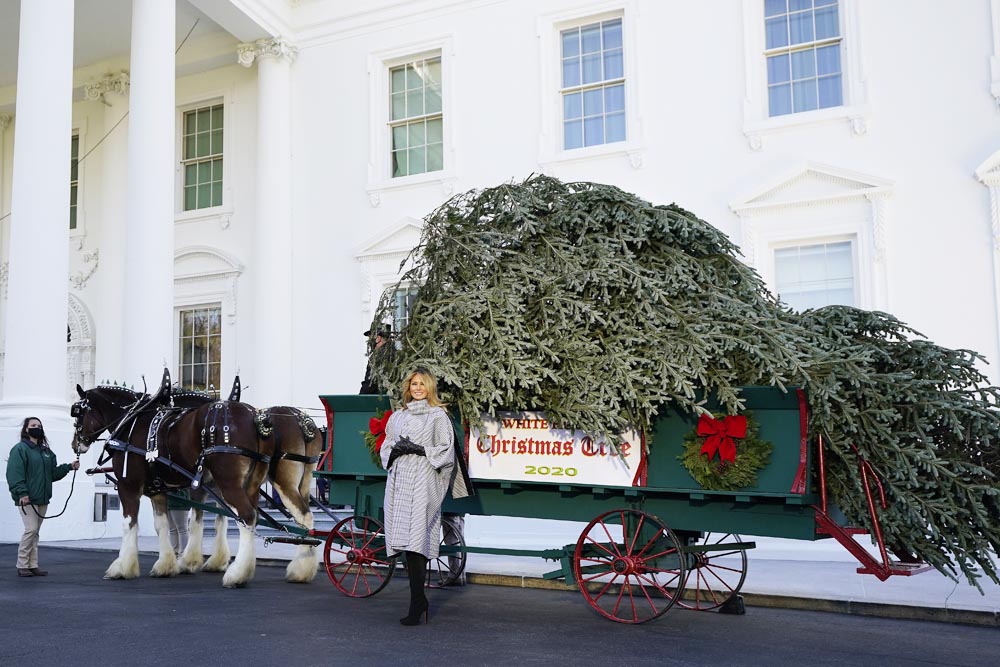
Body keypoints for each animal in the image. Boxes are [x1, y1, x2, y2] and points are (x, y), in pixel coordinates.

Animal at [70, 376, 274, 588]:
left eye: (77, 412)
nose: (75, 444)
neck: (130, 422)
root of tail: (255, 418)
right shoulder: (157, 490)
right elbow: (163, 525)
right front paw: (166, 565)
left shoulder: (128, 486)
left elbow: (129, 524)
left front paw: (122, 567)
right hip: (248, 484)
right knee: (242, 518)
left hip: (228, 483)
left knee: (246, 516)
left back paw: (238, 573)